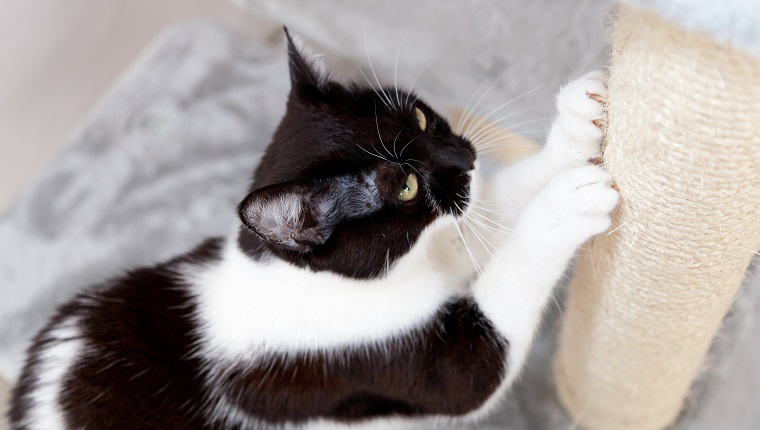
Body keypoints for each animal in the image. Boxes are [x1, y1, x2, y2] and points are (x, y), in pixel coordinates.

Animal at [8, 31, 620, 430]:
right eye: (404, 186)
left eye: (422, 118)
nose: (464, 157)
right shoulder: (364, 357)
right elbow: (477, 370)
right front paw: (563, 208)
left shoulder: (439, 239)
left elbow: (491, 209)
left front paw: (578, 122)